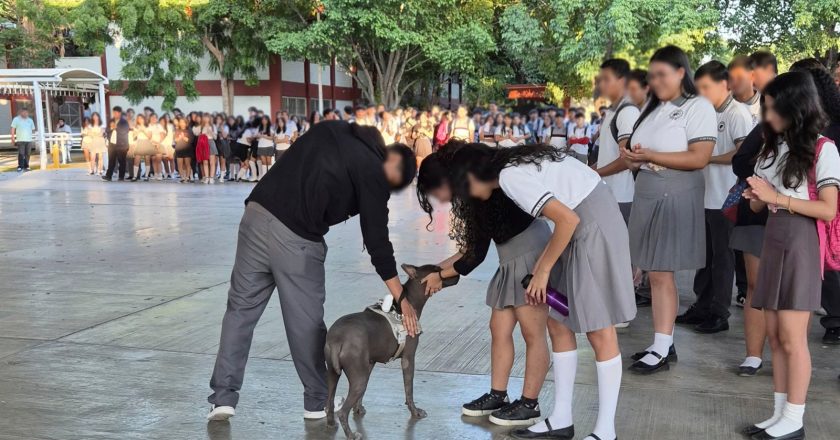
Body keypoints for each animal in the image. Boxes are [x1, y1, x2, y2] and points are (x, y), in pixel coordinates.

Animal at [326, 262, 460, 438]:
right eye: (437, 270)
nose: (457, 273)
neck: (408, 304)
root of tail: (337, 339)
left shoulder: (370, 363)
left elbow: (363, 394)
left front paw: (358, 409)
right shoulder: (408, 359)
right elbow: (409, 390)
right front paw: (415, 412)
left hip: (335, 373)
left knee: (329, 401)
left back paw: (330, 423)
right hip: (358, 378)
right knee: (342, 412)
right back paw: (351, 435)